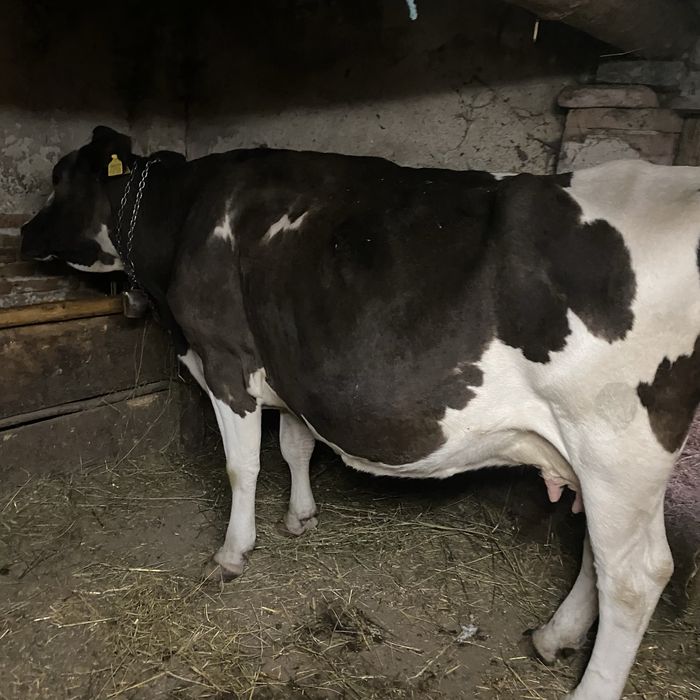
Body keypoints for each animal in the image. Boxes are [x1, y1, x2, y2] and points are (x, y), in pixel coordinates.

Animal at [20, 126, 700, 700]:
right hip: (600, 460)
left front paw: (233, 552)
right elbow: (295, 446)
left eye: (59, 176)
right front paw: (300, 517)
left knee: (635, 576)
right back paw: (553, 636)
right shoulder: (296, 367)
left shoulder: (226, 359)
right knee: (598, 553)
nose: (24, 234)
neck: (185, 216)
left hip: (616, 445)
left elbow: (243, 467)